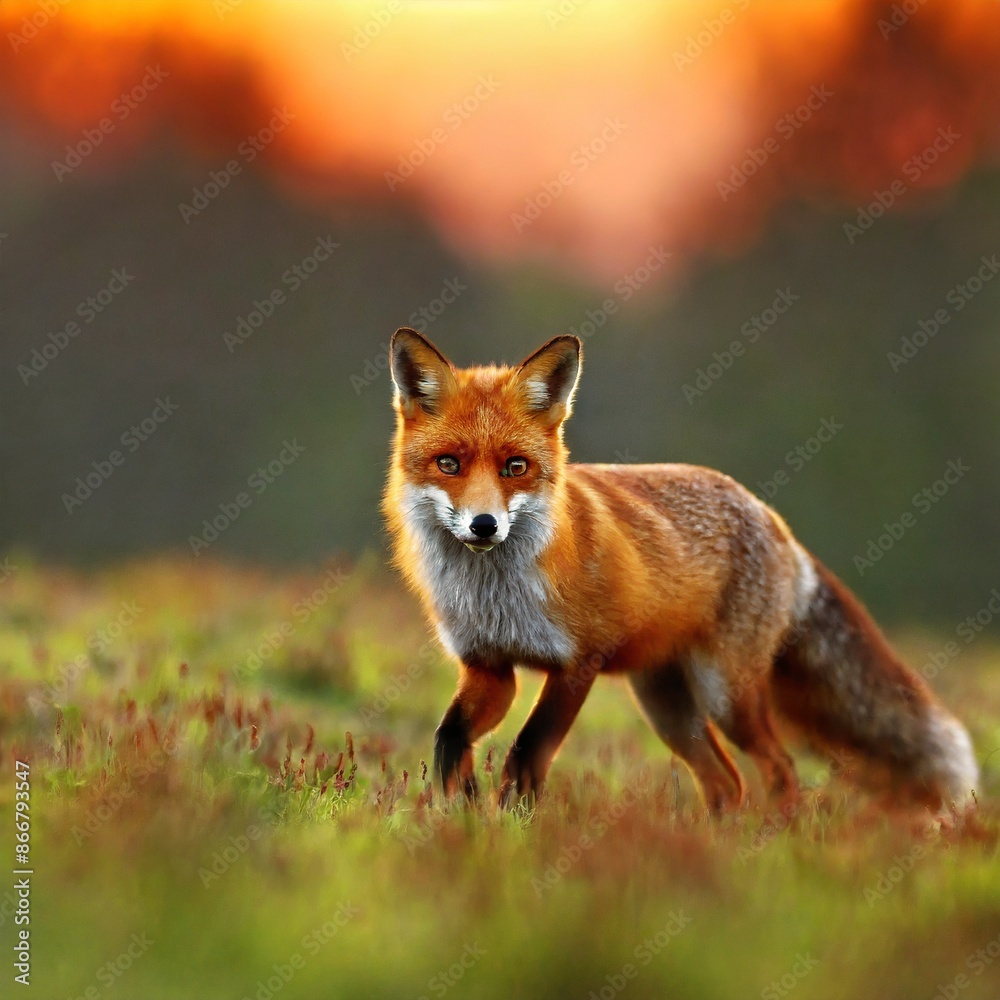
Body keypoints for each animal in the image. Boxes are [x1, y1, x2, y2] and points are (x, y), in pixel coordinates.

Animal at [383, 327, 978, 814]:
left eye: (515, 467)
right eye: (449, 464)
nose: (484, 525)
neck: (496, 596)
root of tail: (771, 517)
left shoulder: (577, 664)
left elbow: (528, 754)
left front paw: (513, 827)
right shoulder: (488, 665)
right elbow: (450, 738)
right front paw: (464, 809)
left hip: (726, 695)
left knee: (778, 769)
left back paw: (773, 844)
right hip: (667, 706)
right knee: (726, 785)